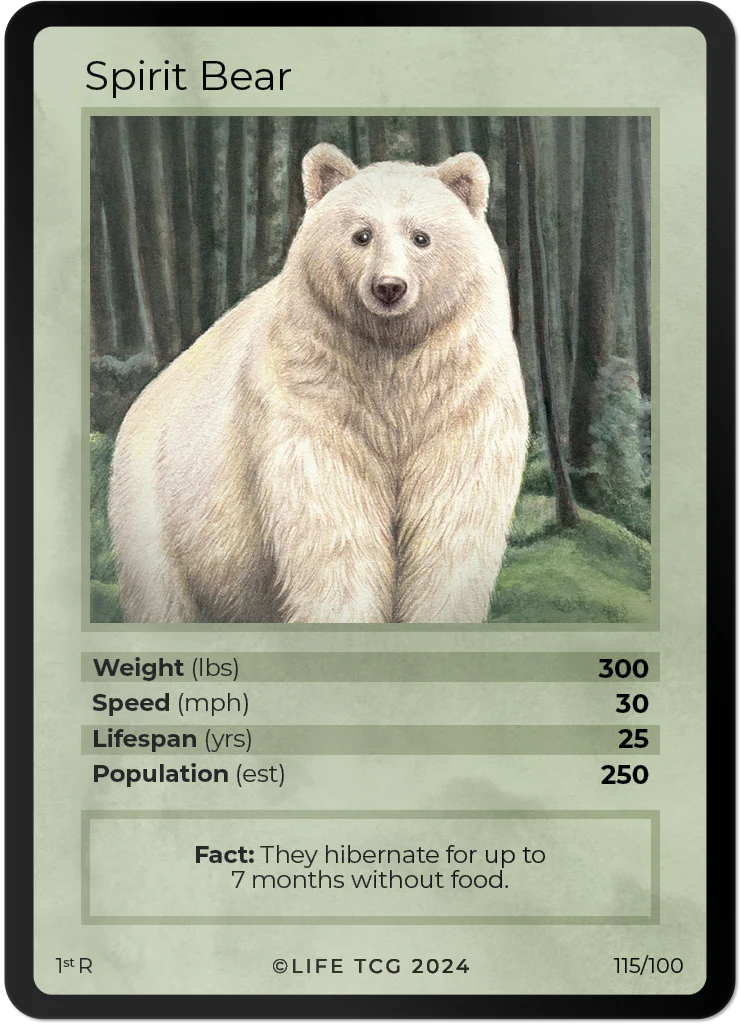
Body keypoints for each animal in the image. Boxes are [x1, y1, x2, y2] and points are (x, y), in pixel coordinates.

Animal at [108, 142, 529, 623]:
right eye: (361, 234)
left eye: (421, 237)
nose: (389, 287)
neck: (390, 353)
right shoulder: (316, 393)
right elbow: (335, 526)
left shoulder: (457, 392)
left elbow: (452, 522)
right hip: (155, 509)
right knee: (160, 594)